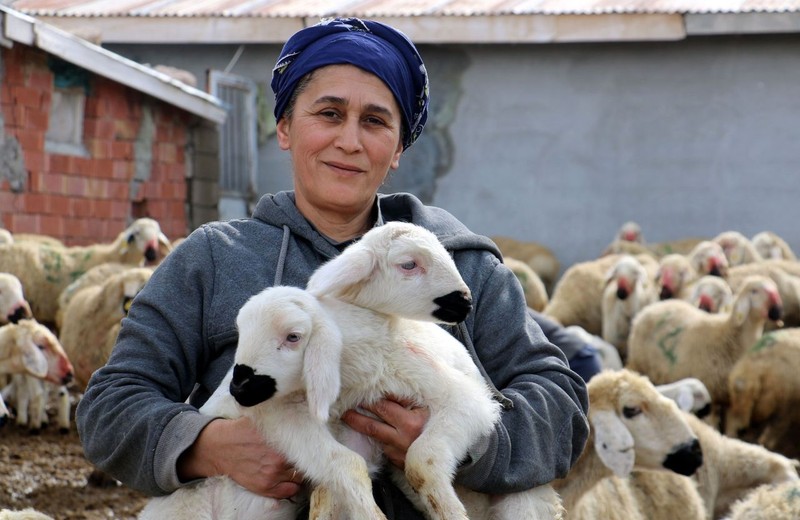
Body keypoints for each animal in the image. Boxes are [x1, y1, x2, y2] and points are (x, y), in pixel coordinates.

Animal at [144, 222, 564, 520]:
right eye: (409, 264)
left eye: (293, 336)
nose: (465, 300)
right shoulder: (317, 423)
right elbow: (345, 472)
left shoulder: (462, 400)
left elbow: (421, 459)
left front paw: (448, 510)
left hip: (525, 499)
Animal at [624, 272, 780, 426]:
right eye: (754, 291)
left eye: (775, 289)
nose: (777, 311)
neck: (729, 336)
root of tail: (651, 308)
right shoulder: (711, 394)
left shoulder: (731, 400)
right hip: (639, 364)